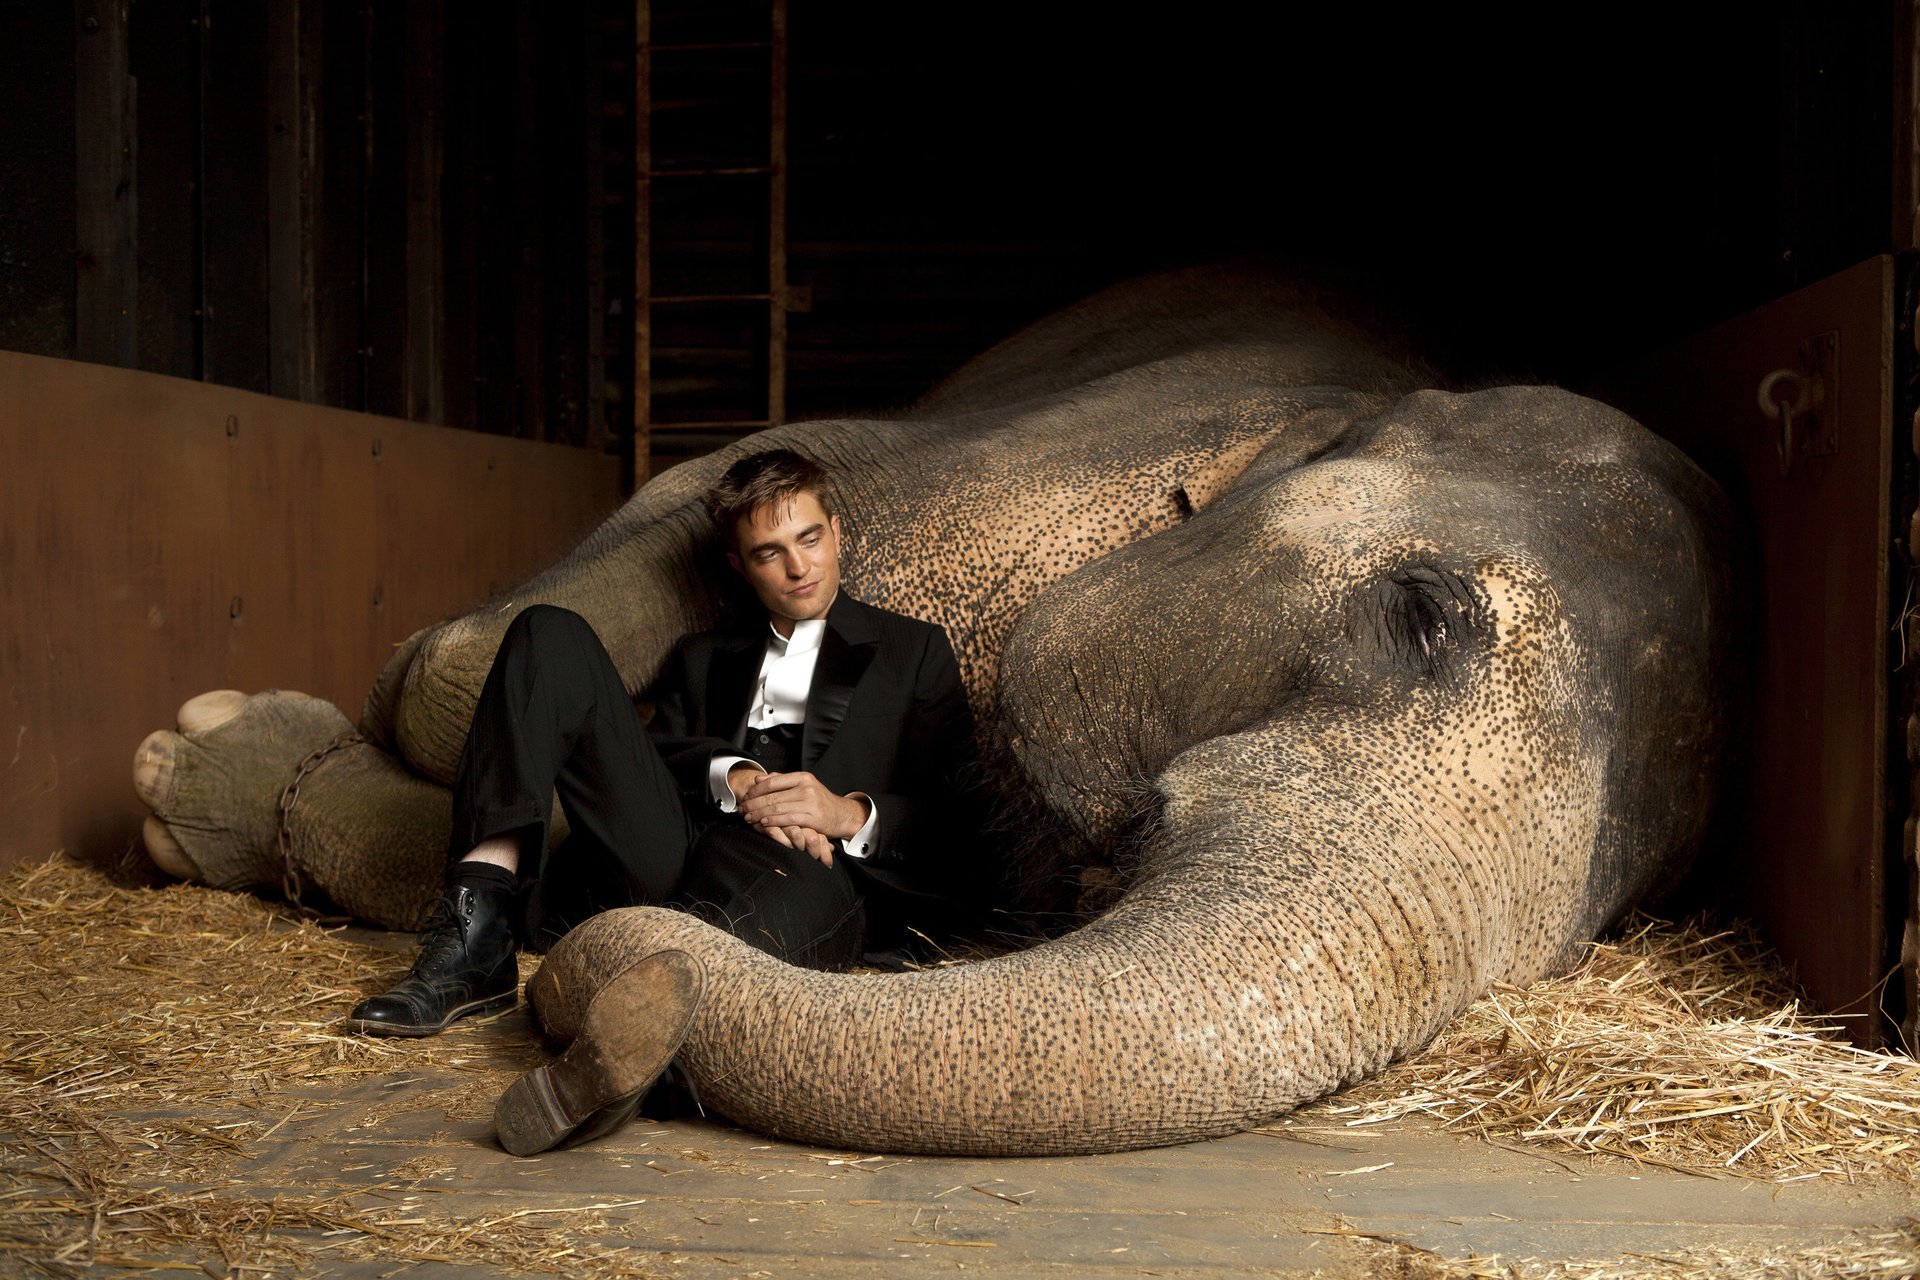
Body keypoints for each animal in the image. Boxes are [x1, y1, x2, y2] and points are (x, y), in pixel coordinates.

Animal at [132, 264, 1735, 1156]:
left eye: (1607, 921)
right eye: (1420, 611)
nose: (601, 1015)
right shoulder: (1004, 461)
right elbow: (539, 617)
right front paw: (221, 749)